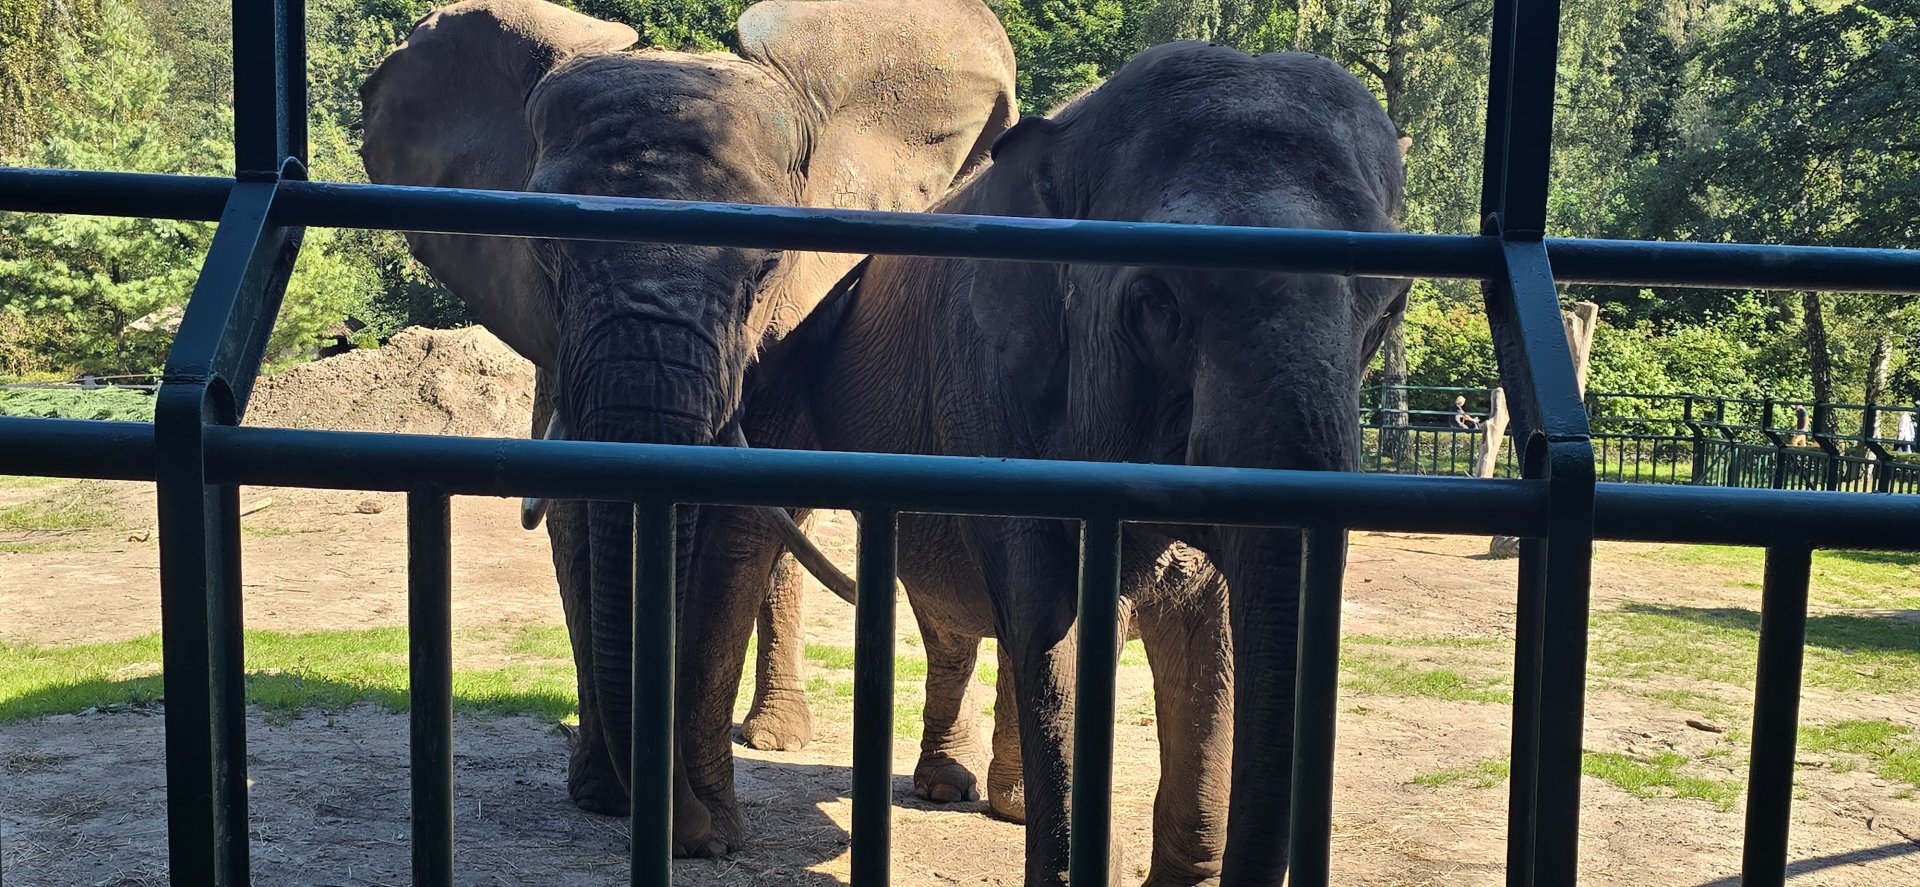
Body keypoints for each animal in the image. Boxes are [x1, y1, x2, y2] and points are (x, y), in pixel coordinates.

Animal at [357, 0, 1018, 827]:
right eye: (545, 251)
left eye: (768, 264)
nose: (677, 813)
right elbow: (577, 517)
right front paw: (606, 798)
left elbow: (735, 529)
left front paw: (711, 827)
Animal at [684, 42, 1410, 886]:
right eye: (1155, 303)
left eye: (1388, 310)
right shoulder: (987, 385)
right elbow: (1058, 621)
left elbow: (1213, 629)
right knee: (752, 532)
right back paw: (709, 830)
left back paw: (972, 793)